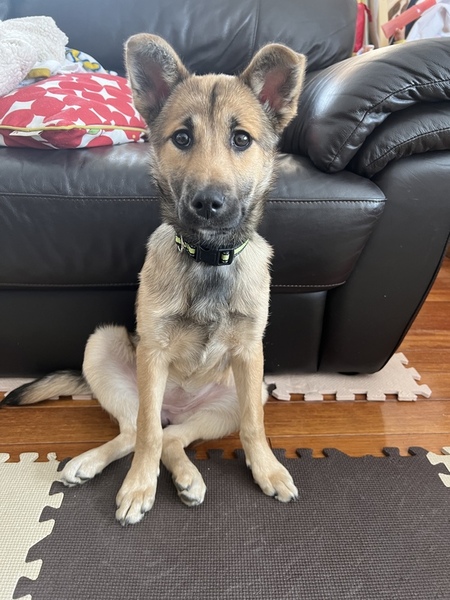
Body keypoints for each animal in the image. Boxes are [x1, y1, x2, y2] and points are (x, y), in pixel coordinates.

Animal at [2, 34, 306, 525]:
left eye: (241, 139)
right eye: (182, 138)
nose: (208, 203)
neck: (208, 258)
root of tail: (174, 407)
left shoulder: (249, 353)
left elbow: (254, 428)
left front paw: (267, 469)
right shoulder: (153, 351)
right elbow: (145, 434)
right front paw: (139, 487)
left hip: (241, 392)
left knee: (175, 437)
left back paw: (188, 478)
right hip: (104, 346)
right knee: (141, 430)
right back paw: (91, 463)